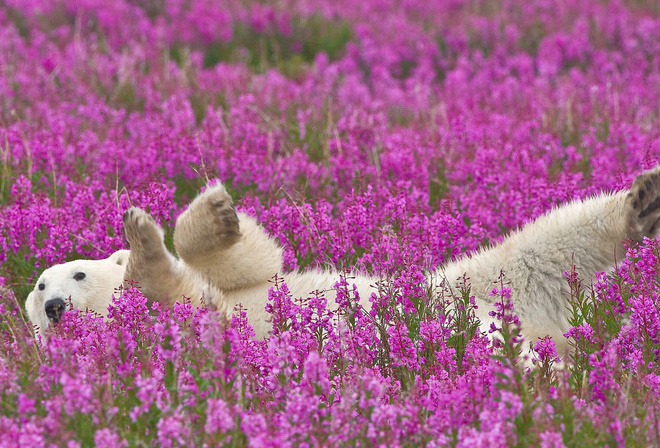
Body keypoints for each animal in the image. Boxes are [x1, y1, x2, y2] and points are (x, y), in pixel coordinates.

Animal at [25, 166, 660, 356]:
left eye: (73, 272)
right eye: (38, 289)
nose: (54, 306)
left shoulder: (241, 287)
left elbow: (255, 263)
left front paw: (208, 213)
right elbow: (178, 294)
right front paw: (144, 247)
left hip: (464, 285)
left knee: (548, 243)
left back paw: (641, 201)